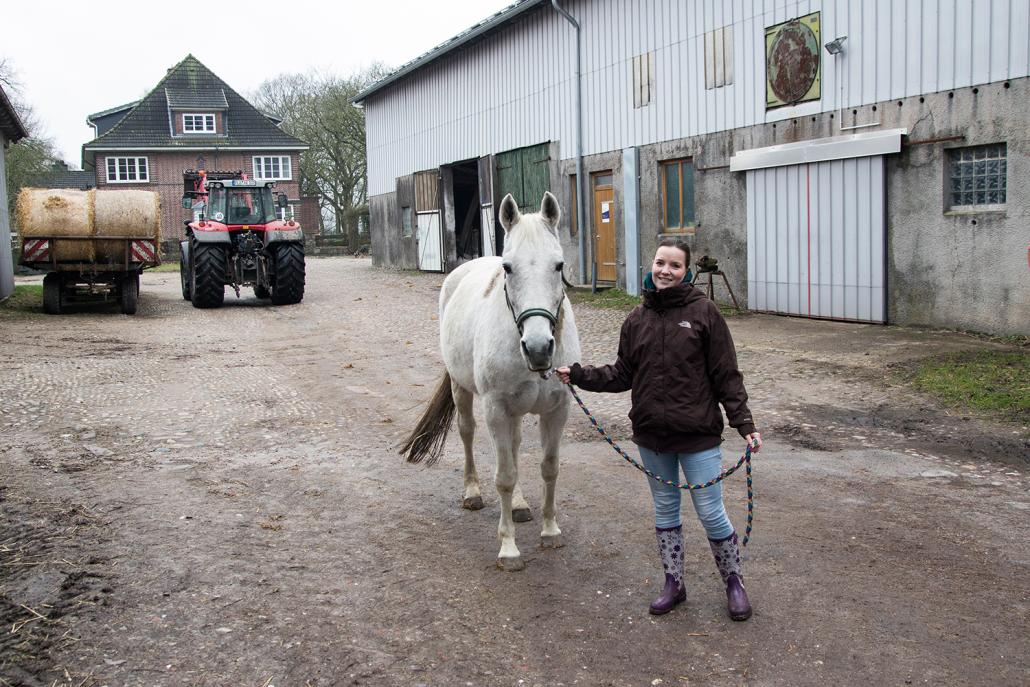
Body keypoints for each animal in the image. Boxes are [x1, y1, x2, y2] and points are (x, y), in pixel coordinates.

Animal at [399, 192, 580, 568]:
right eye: (508, 268)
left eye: (558, 265)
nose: (538, 348)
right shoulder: (496, 409)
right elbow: (505, 476)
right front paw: (509, 549)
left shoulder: (557, 410)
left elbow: (549, 468)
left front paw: (550, 532)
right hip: (463, 391)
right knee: (468, 433)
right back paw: (472, 492)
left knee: (515, 446)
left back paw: (521, 505)